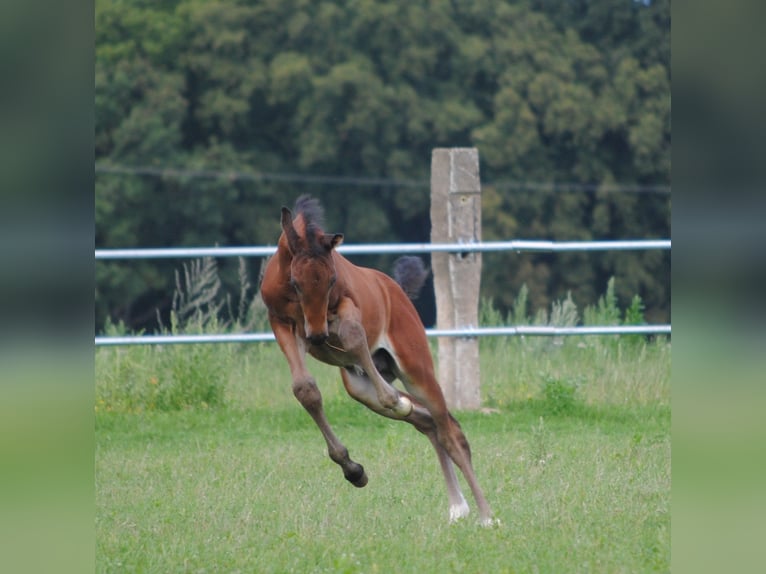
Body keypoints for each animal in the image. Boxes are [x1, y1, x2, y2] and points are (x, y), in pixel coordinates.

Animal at [260, 195, 494, 525]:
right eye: (295, 281)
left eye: (332, 278)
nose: (317, 335)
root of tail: (397, 290)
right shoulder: (282, 323)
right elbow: (305, 389)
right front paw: (353, 470)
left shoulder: (345, 306)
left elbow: (353, 334)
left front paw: (392, 400)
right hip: (360, 388)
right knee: (429, 423)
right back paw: (458, 506)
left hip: (415, 368)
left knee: (450, 431)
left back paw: (486, 515)